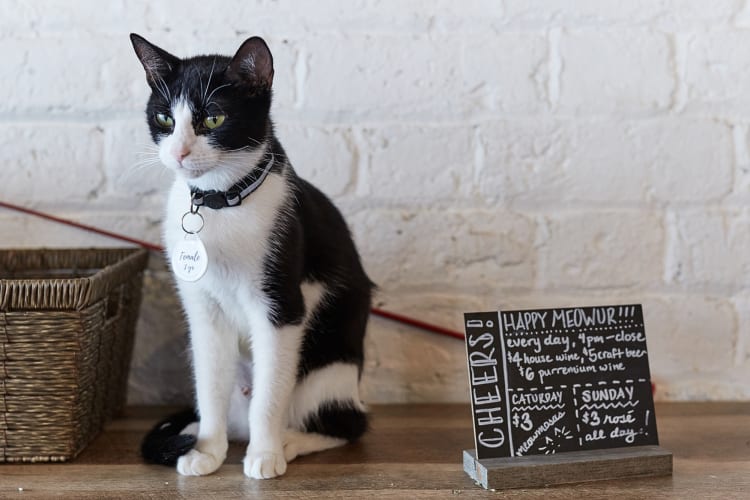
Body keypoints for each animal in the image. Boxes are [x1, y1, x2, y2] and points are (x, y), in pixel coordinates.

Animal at [133, 33, 376, 478]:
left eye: (213, 120)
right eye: (164, 119)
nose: (179, 153)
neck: (220, 201)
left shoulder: (280, 305)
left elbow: (270, 393)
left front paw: (264, 455)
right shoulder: (203, 313)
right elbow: (209, 384)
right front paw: (208, 451)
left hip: (327, 374)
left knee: (345, 421)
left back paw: (290, 440)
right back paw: (194, 433)